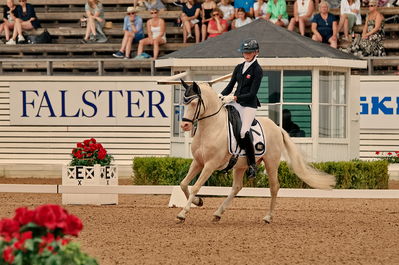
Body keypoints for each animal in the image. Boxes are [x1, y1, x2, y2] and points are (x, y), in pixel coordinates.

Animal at [177, 79, 336, 222]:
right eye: (184, 103)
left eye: (194, 103)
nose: (184, 125)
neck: (211, 128)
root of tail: (277, 127)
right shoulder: (198, 162)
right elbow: (183, 184)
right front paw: (198, 201)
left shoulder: (210, 164)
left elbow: (196, 186)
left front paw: (183, 214)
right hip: (240, 165)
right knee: (237, 187)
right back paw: (218, 213)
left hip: (271, 162)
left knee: (274, 187)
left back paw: (268, 217)